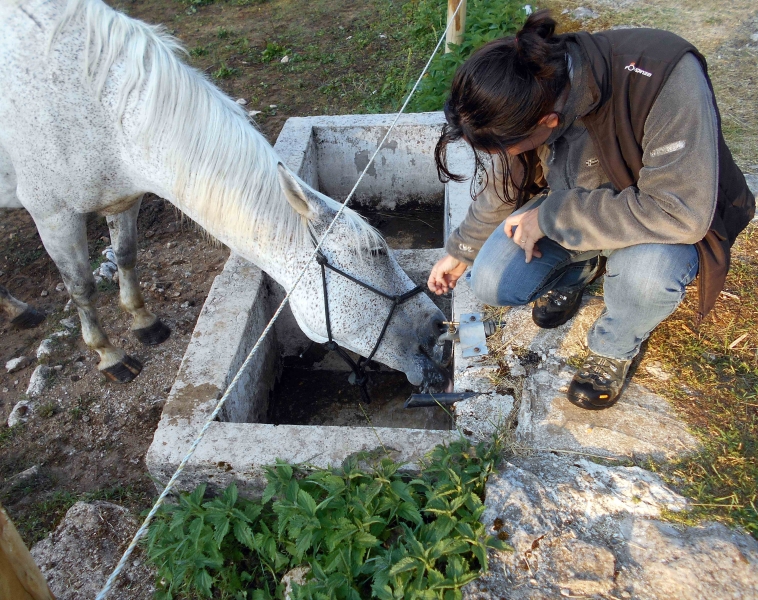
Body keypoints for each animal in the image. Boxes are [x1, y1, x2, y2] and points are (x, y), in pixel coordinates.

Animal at [0, 0, 452, 390]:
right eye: (376, 252)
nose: (437, 326)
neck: (99, 108)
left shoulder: (125, 198)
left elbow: (126, 255)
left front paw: (144, 322)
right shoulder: (54, 217)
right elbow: (81, 288)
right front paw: (109, 355)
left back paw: (19, 310)